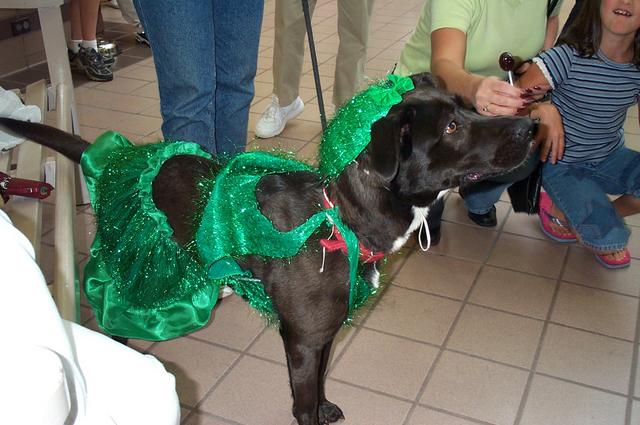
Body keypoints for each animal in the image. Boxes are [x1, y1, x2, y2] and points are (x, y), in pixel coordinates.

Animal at [0, 72, 536, 425]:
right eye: (450, 128)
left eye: (466, 105)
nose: (530, 127)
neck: (339, 217)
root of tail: (116, 160)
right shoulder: (300, 342)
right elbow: (302, 404)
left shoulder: (323, 337)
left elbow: (319, 387)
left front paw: (325, 406)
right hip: (136, 275)